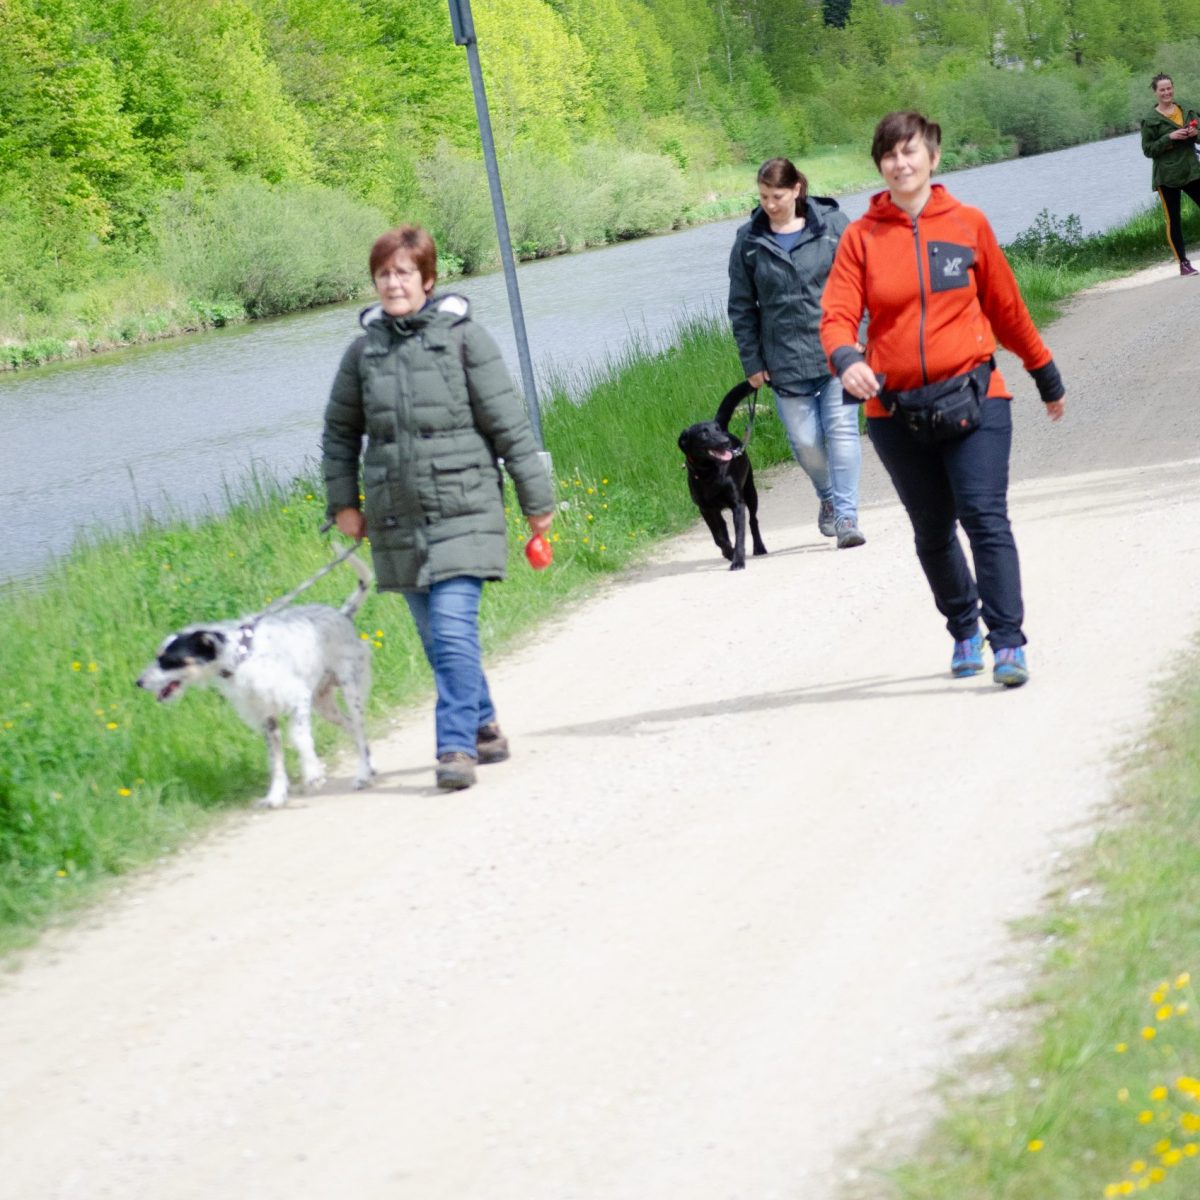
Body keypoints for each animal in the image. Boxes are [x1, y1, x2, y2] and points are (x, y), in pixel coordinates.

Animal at [136, 552, 375, 808]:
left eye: (168, 660)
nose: (138, 682)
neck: (243, 656)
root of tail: (342, 614)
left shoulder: (297, 699)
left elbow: (299, 737)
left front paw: (312, 773)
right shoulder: (266, 718)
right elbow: (275, 760)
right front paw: (276, 795)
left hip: (351, 691)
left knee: (358, 728)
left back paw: (362, 774)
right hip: (324, 705)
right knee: (353, 729)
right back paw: (369, 767)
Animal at [677, 381, 767, 570]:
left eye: (717, 429)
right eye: (704, 433)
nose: (725, 442)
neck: (708, 473)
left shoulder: (737, 504)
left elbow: (739, 536)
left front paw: (738, 560)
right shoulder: (706, 509)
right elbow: (719, 537)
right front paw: (728, 552)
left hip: (750, 492)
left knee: (753, 521)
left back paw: (759, 547)